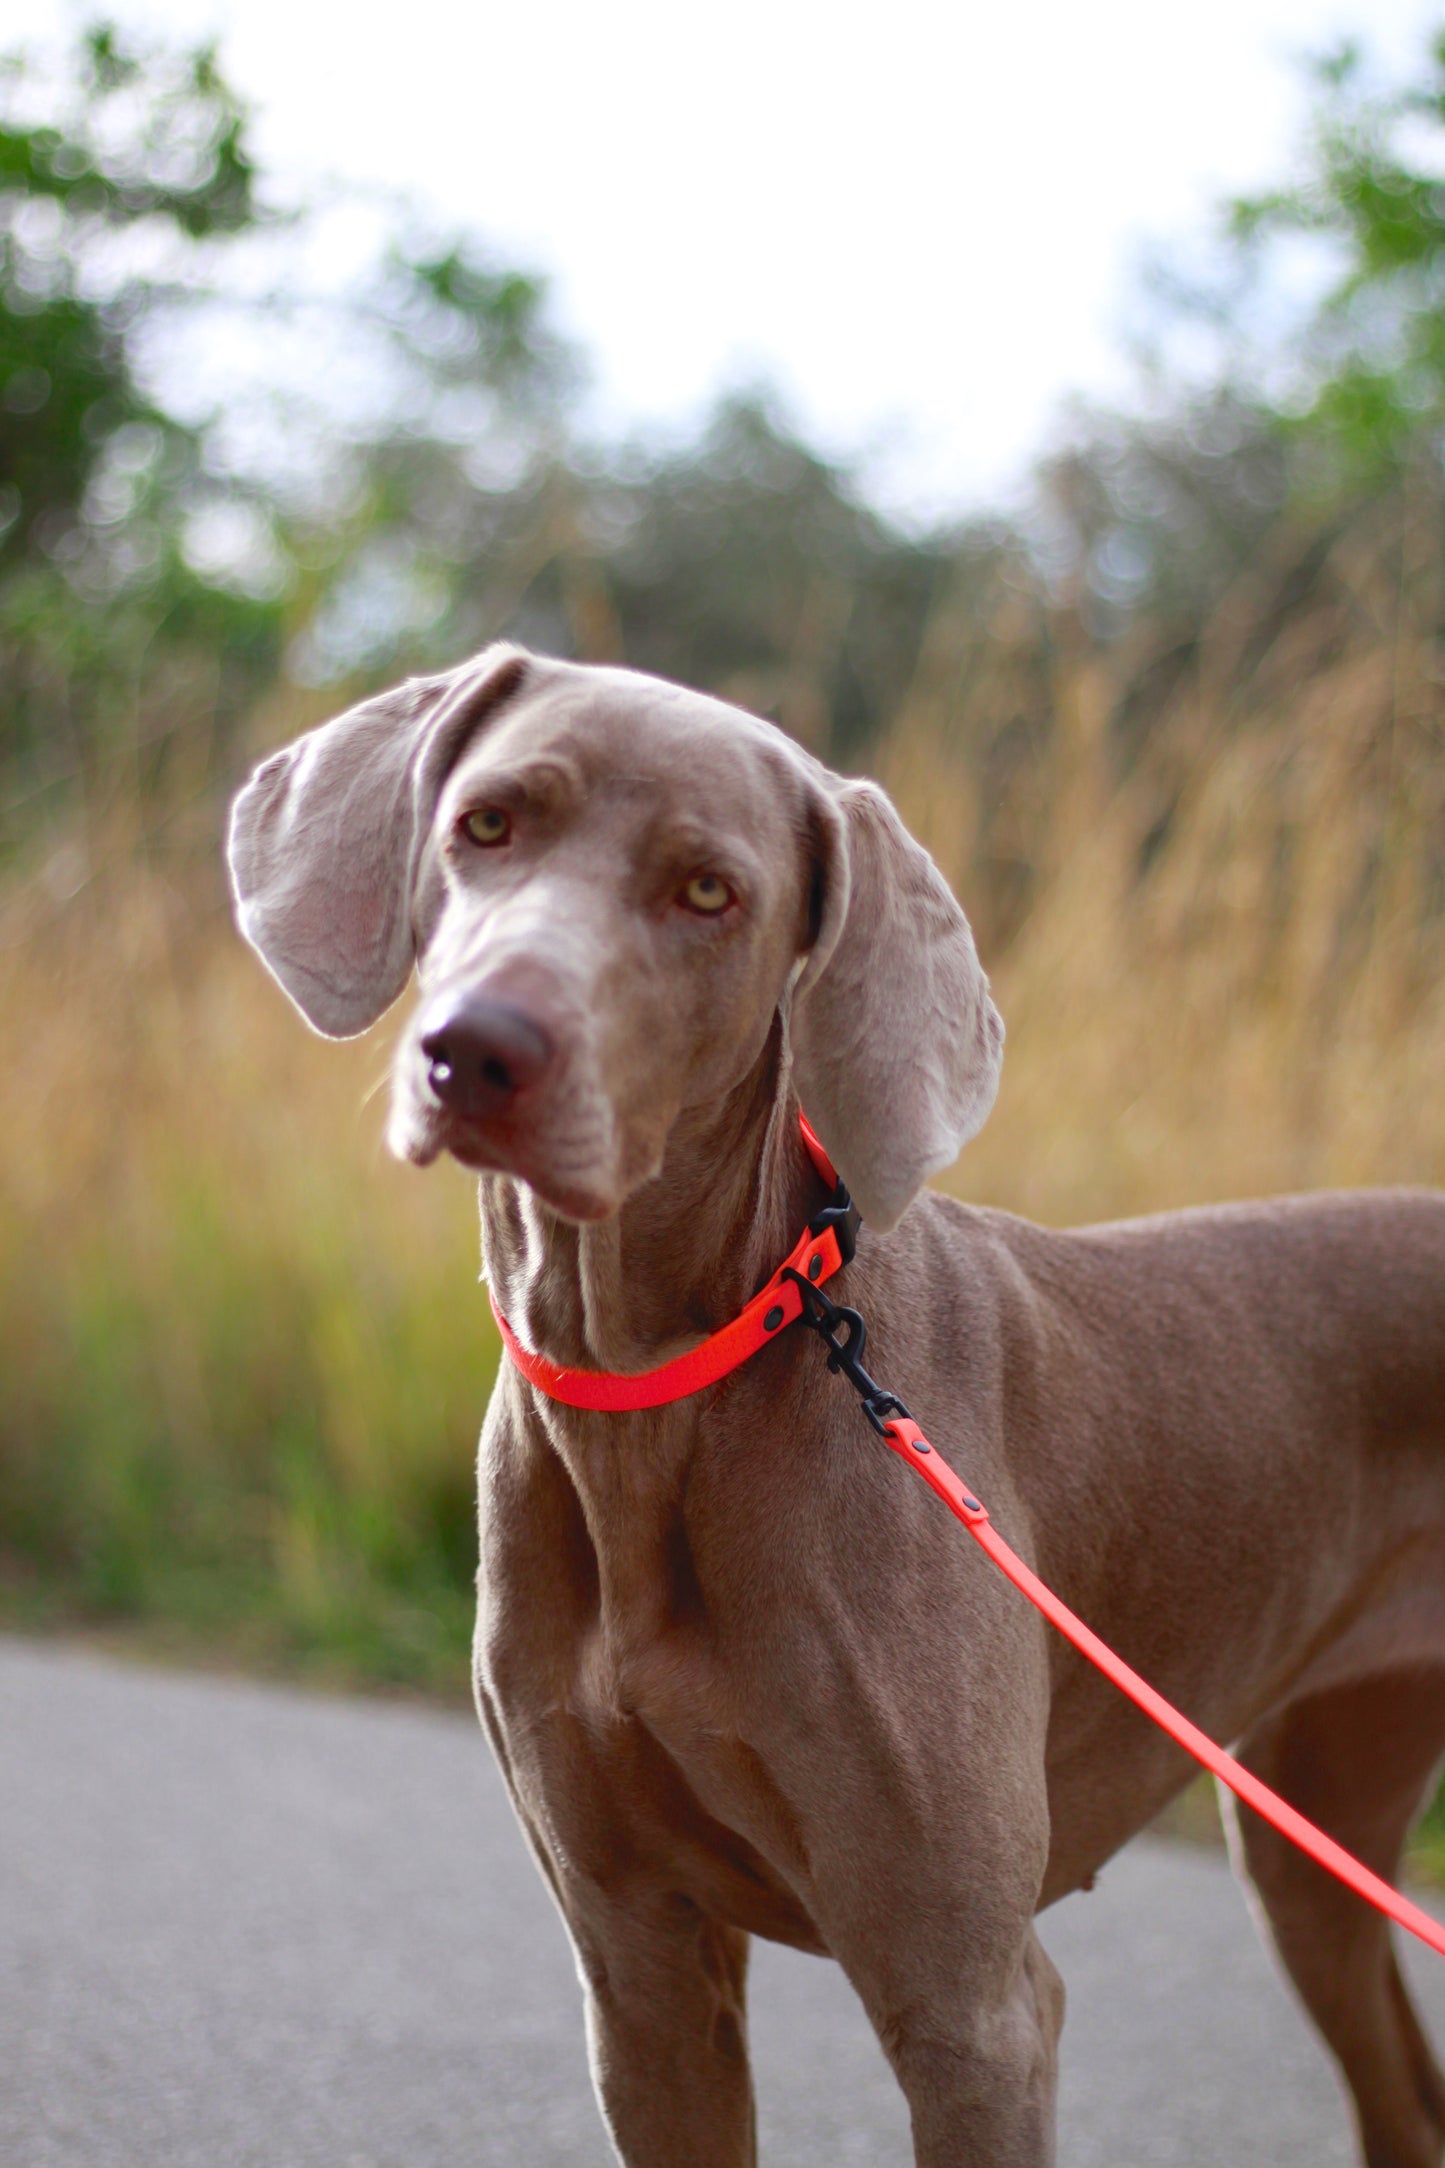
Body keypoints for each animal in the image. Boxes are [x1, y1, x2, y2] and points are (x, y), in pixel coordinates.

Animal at [228, 641, 1445, 2168]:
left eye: (708, 892)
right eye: (486, 823)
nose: (478, 1049)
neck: (654, 1389)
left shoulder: (970, 2004)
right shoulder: (639, 1971)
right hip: (1311, 1835)